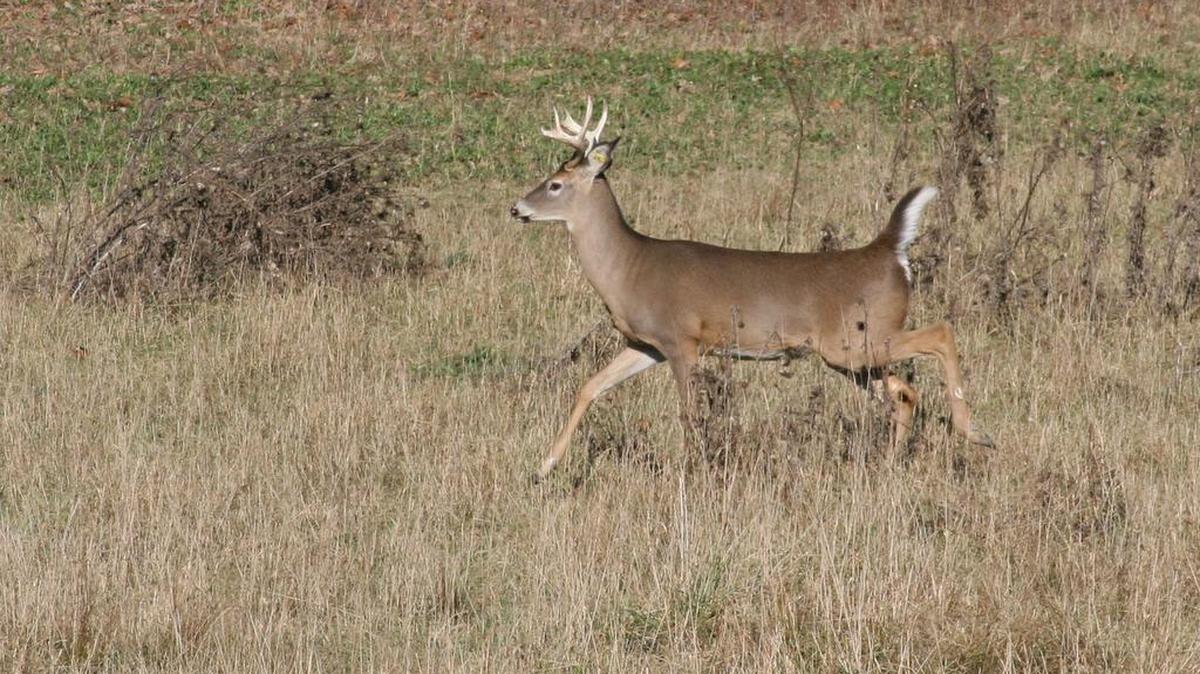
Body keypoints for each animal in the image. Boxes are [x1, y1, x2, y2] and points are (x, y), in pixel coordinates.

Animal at [510, 98, 994, 482]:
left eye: (555, 184)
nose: (516, 208)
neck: (629, 269)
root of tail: (889, 251)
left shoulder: (683, 339)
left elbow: (689, 413)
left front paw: (696, 470)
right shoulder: (646, 343)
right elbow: (589, 387)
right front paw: (544, 466)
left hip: (857, 339)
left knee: (940, 334)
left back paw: (976, 432)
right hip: (851, 356)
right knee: (904, 393)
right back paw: (891, 465)